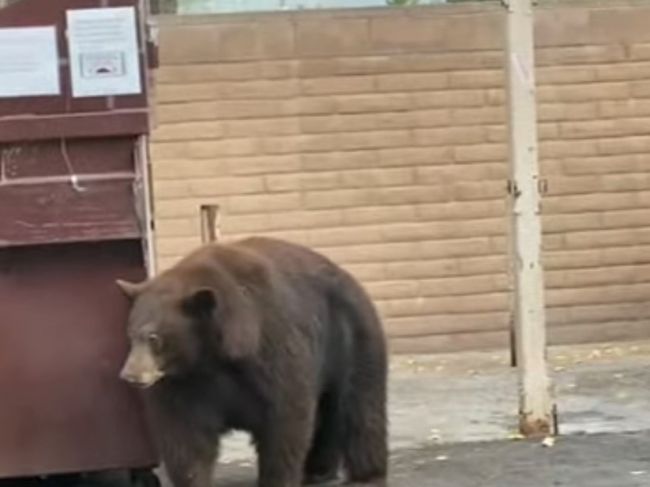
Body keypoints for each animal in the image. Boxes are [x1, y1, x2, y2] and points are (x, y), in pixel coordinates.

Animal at [114, 236, 388, 487]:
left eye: (154, 337)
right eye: (130, 334)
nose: (130, 375)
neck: (211, 356)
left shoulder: (272, 350)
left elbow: (286, 418)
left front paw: (277, 479)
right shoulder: (184, 383)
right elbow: (184, 435)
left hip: (351, 338)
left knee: (360, 405)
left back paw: (367, 473)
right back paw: (319, 470)